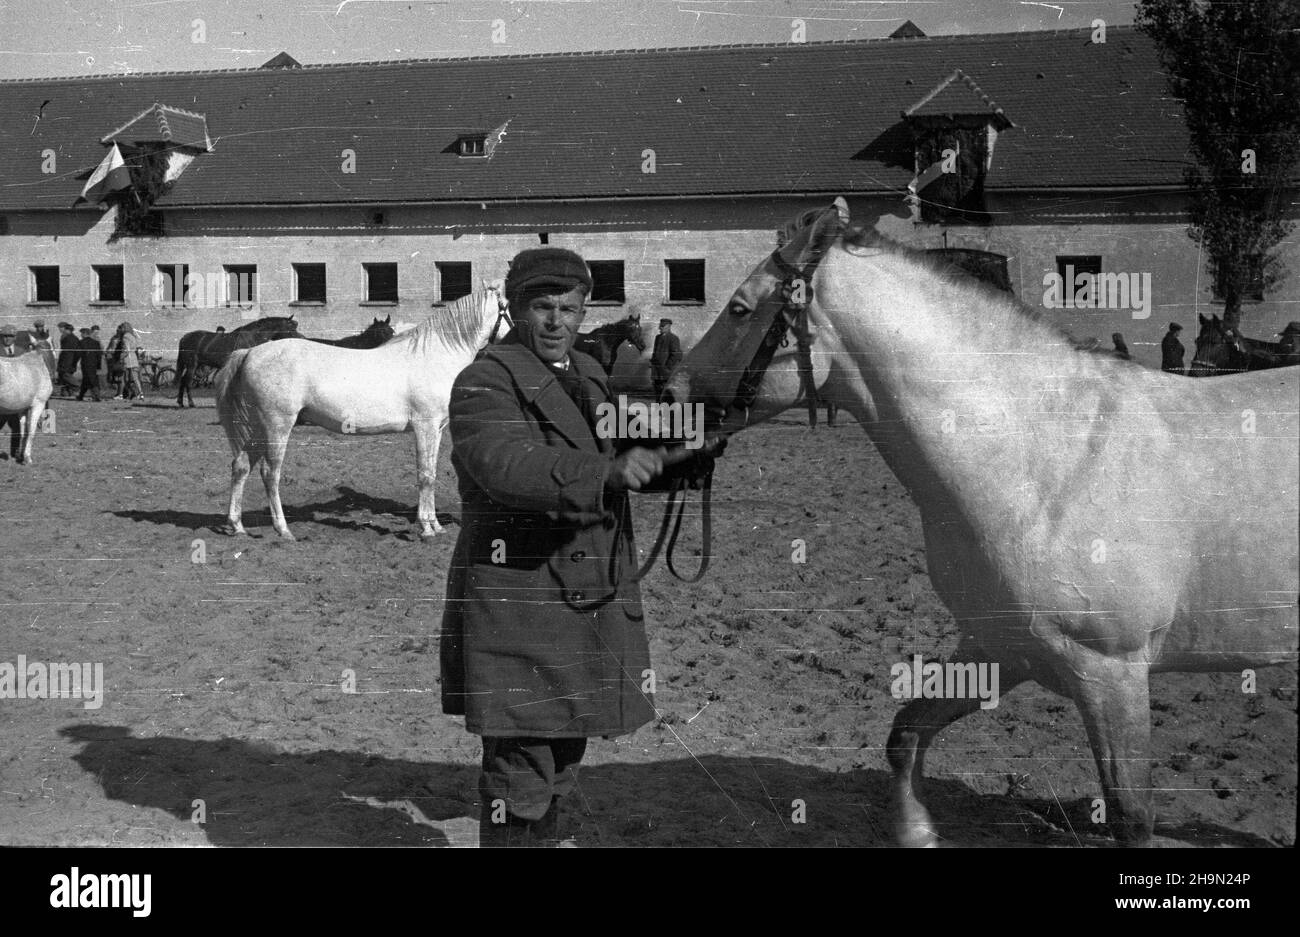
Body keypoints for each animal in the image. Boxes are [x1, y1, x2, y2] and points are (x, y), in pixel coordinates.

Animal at [214, 288, 511, 541]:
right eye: (506, 308)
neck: (433, 356)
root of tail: (250, 352)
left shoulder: (437, 429)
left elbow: (432, 473)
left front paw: (436, 526)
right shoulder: (425, 426)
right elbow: (425, 475)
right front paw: (426, 529)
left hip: (258, 427)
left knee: (241, 466)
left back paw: (236, 526)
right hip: (277, 424)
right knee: (270, 472)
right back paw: (283, 530)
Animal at [667, 198, 1298, 847]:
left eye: (740, 308)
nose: (669, 394)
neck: (1047, 463)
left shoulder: (1112, 673)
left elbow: (1130, 814)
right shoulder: (1002, 647)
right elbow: (906, 732)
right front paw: (916, 831)